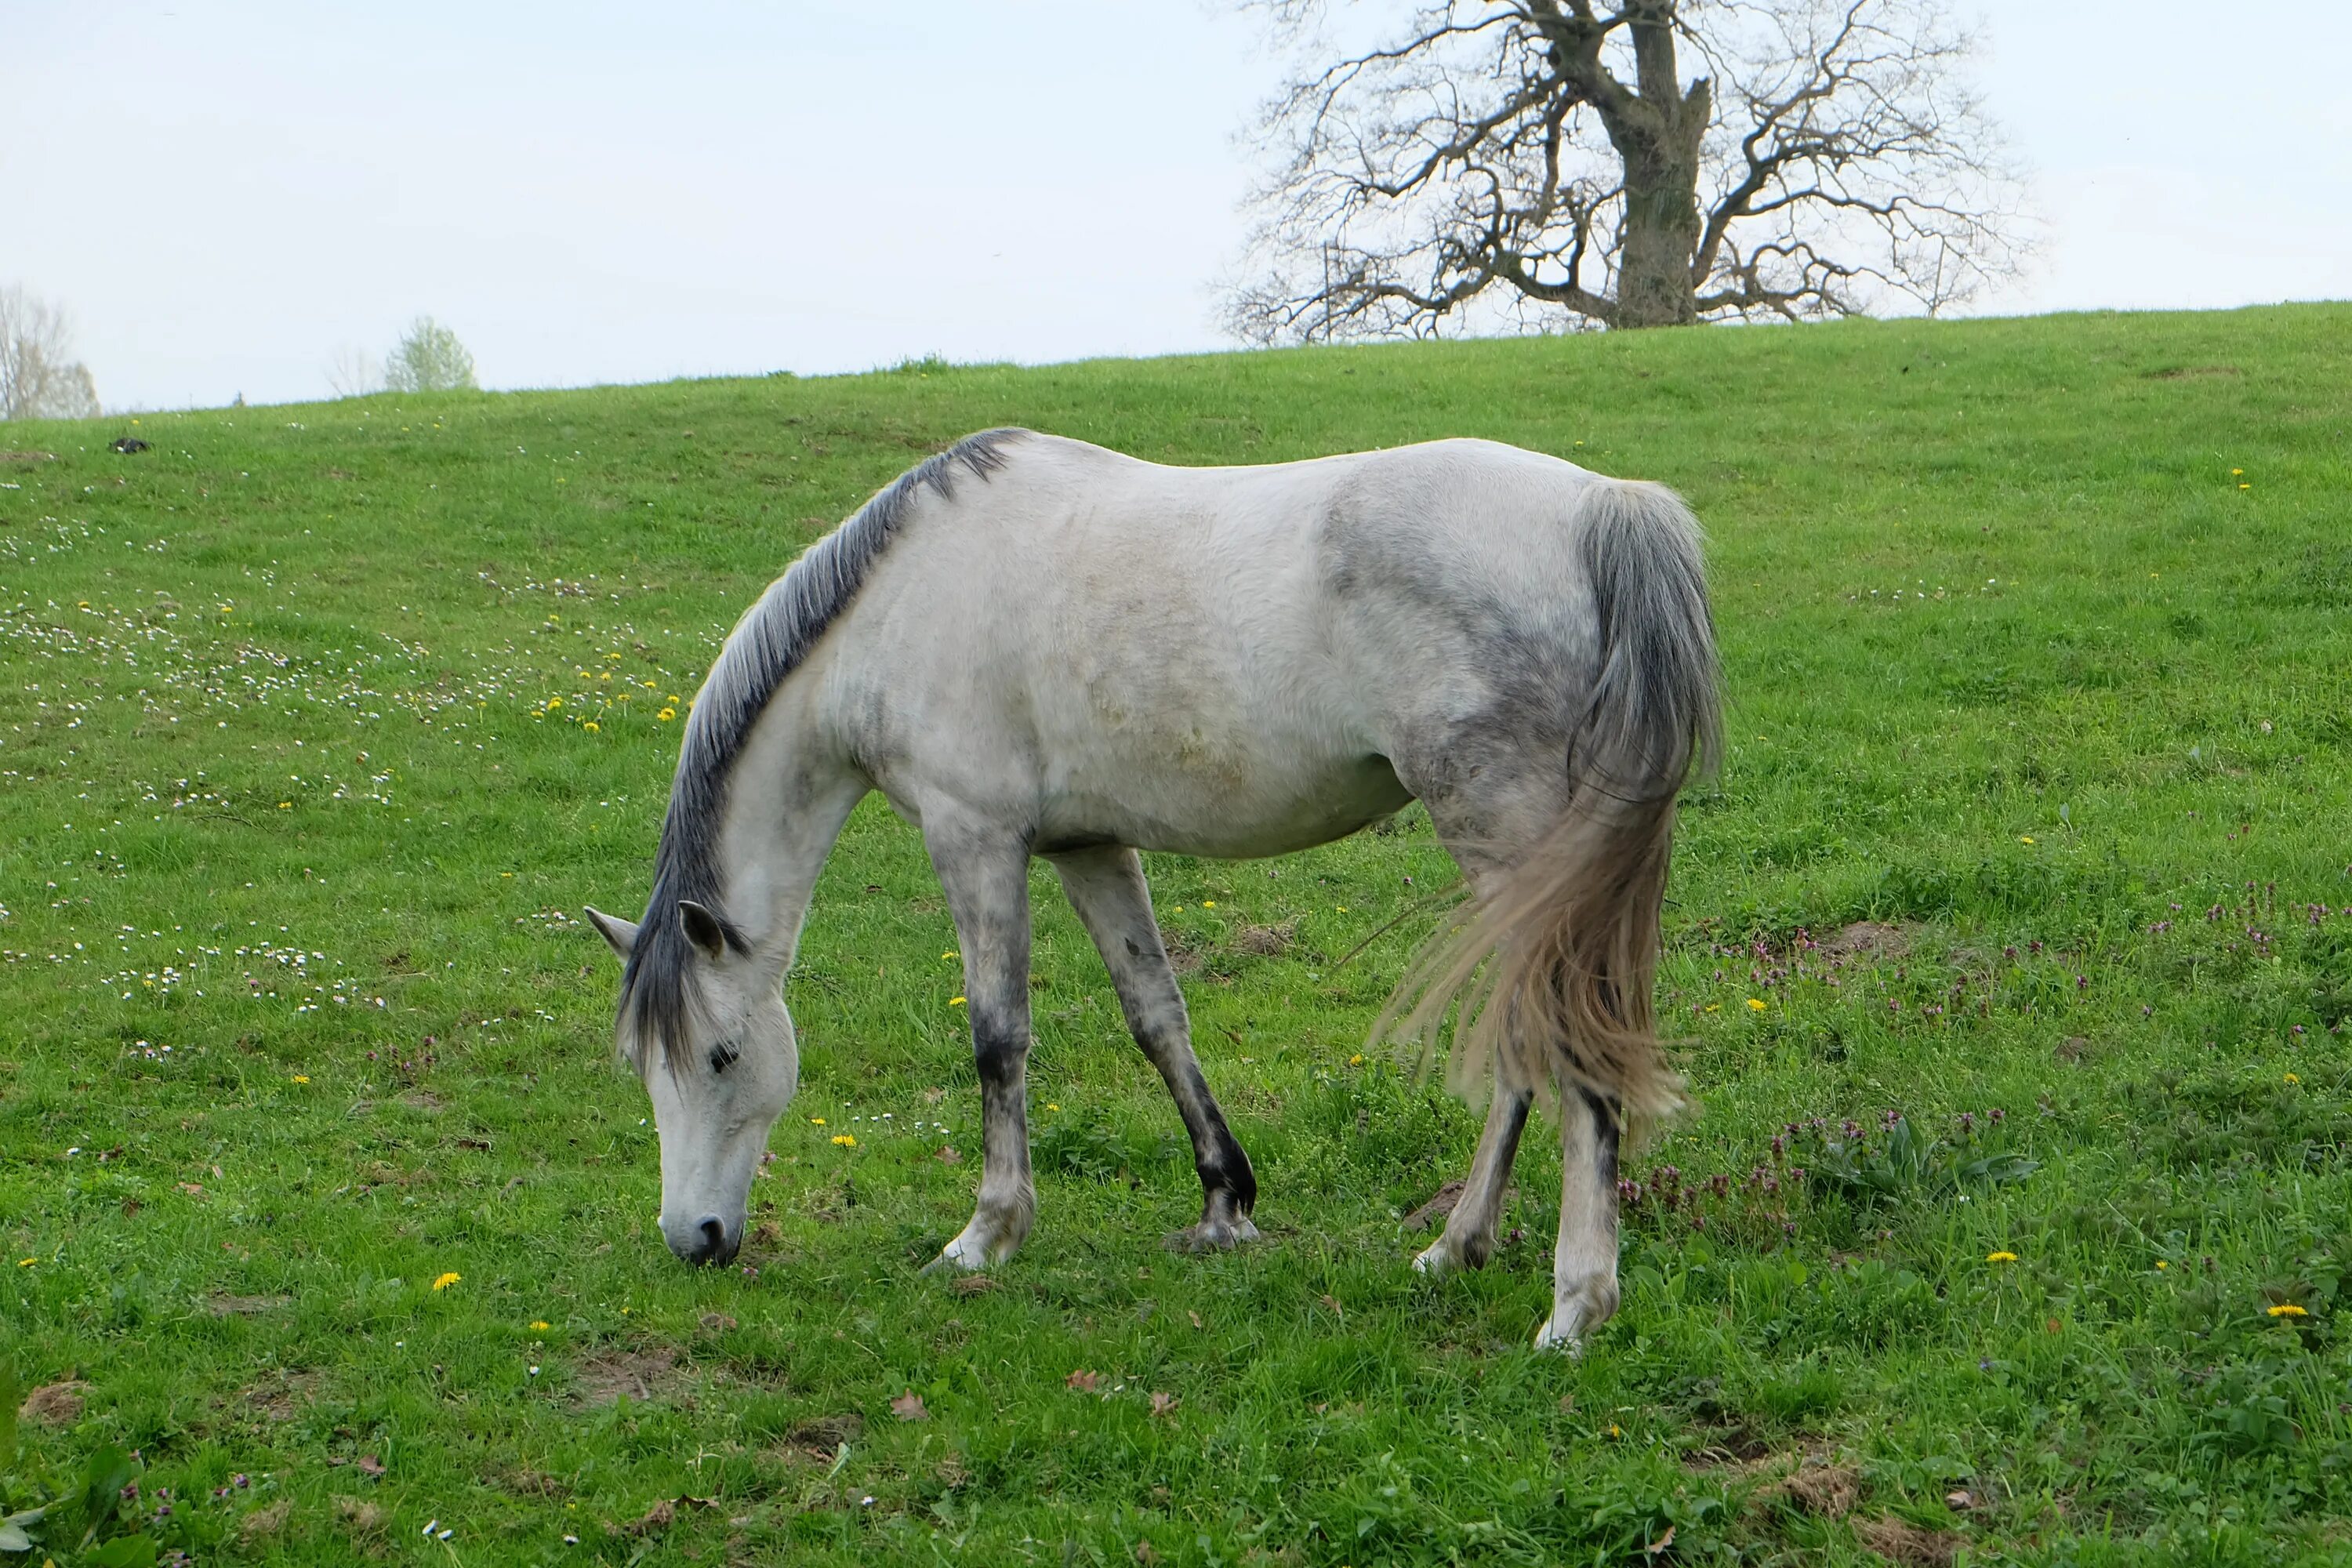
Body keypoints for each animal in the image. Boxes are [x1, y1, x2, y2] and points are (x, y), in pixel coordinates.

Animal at [583, 430, 1731, 1354]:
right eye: (643, 1068)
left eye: (721, 1057)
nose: (695, 1239)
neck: (898, 603)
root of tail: (1603, 507)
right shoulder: (1088, 846)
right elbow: (1156, 1016)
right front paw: (1226, 1200)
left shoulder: (975, 839)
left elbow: (999, 1038)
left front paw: (987, 1232)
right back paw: (1456, 1248)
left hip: (1510, 847)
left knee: (1567, 1043)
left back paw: (1575, 1305)